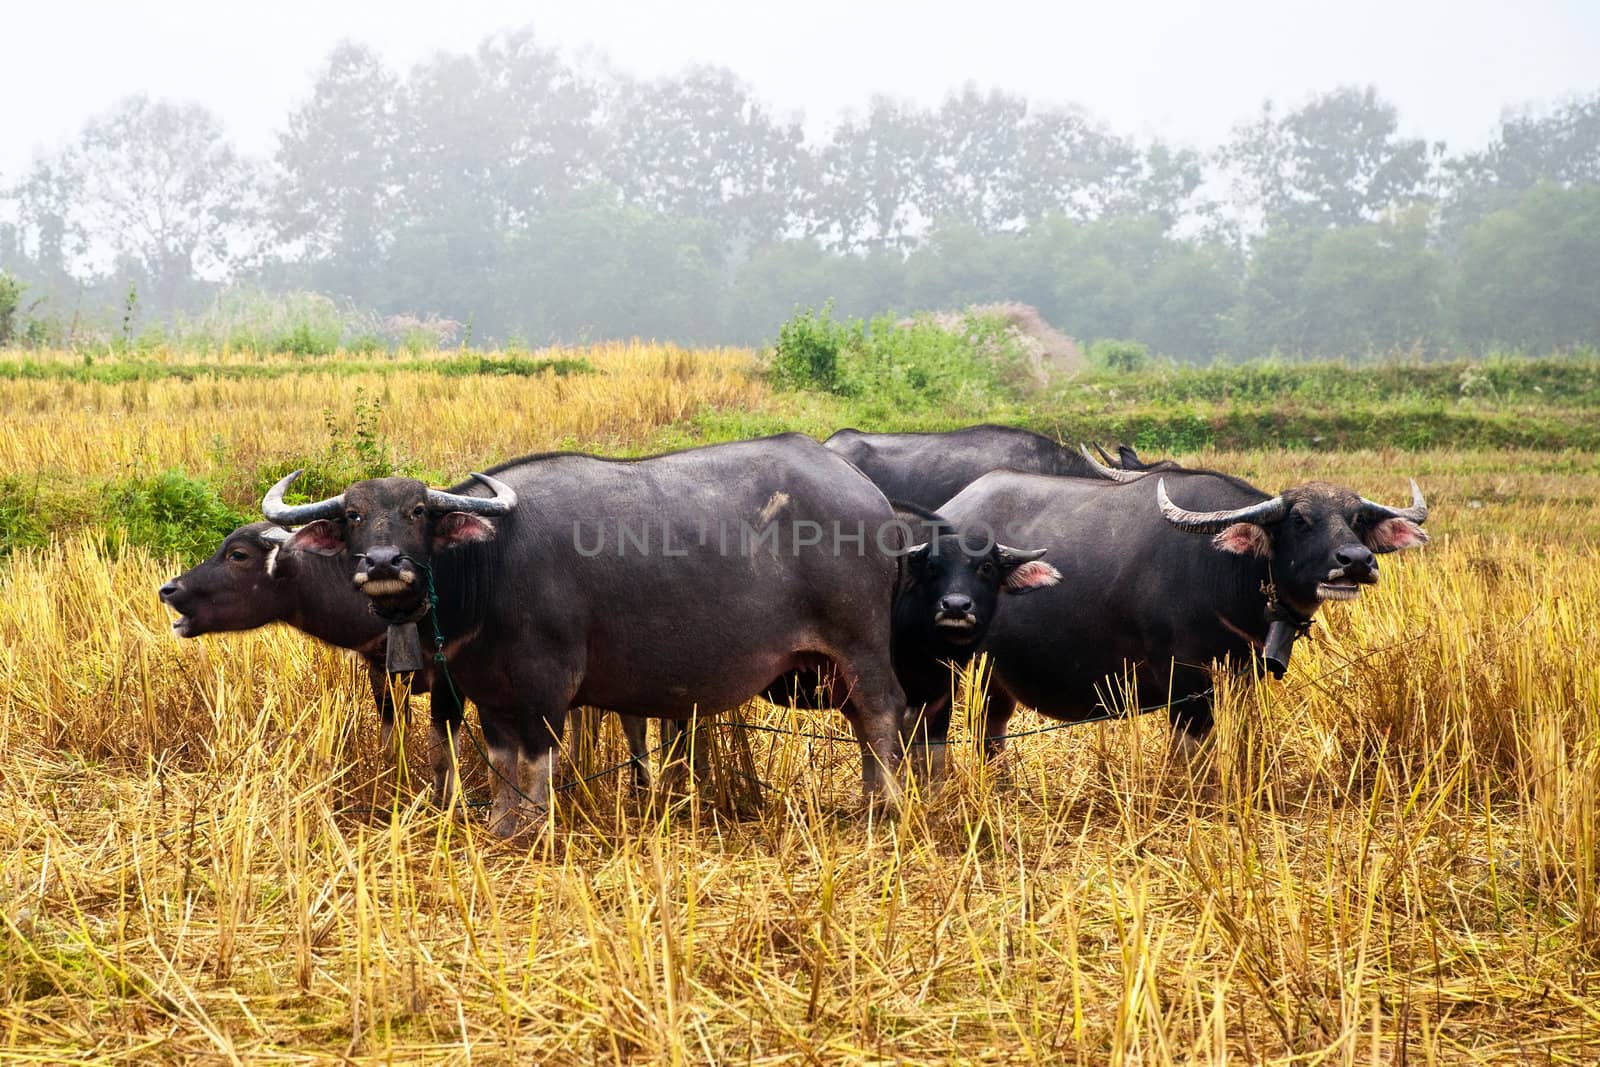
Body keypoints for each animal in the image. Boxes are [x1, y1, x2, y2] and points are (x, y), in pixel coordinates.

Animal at [264, 431, 915, 831]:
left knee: (884, 712)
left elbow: (537, 763)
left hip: (860, 646)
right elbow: (502, 763)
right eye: (353, 516)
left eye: (417, 512)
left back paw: (882, 809)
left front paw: (537, 827)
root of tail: (870, 496)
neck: (493, 562)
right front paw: (503, 826)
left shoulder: (547, 684)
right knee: (862, 722)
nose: (382, 563)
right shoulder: (490, 693)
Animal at [934, 463, 1433, 755]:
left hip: (995, 676)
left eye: (1357, 520)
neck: (1229, 571)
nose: (1357, 561)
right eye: (1300, 519)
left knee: (991, 729)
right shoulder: (1184, 680)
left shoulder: (1241, 677)